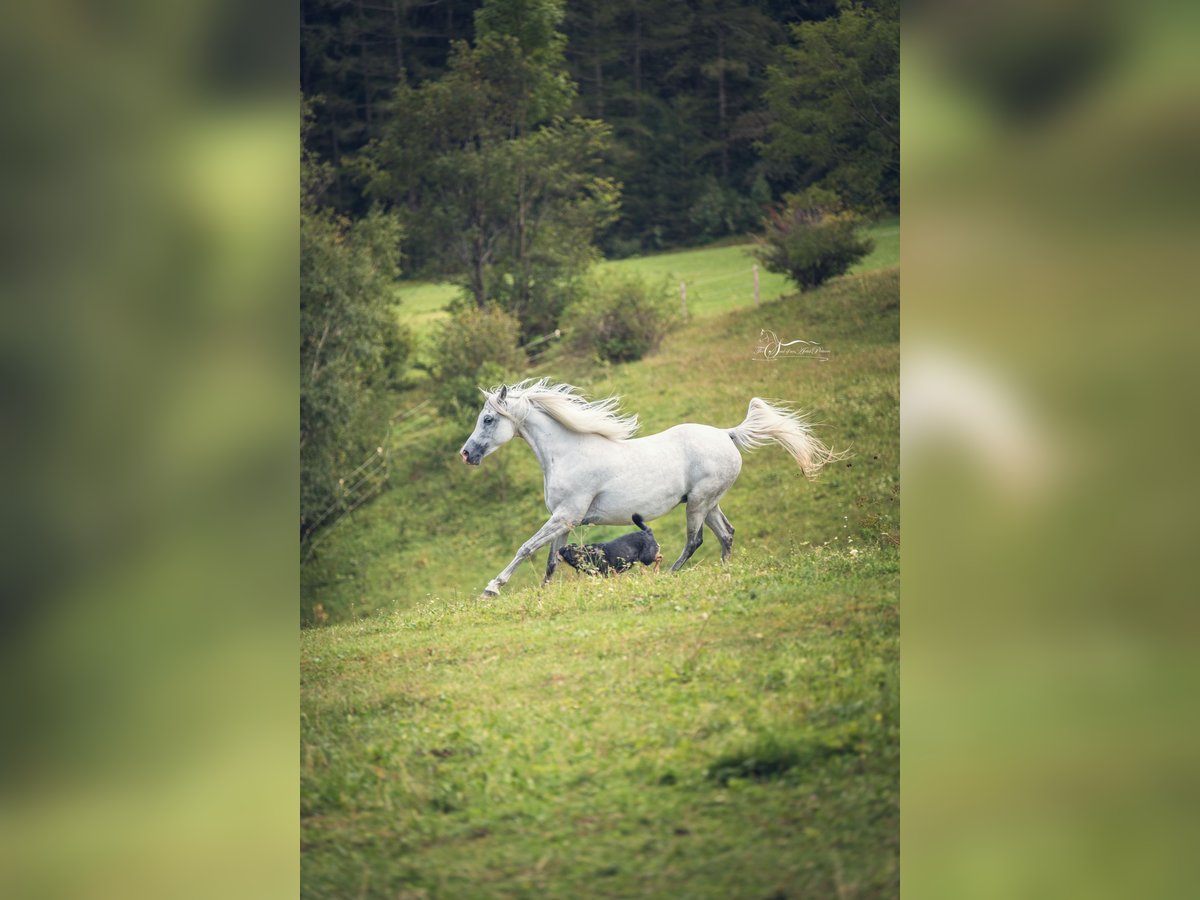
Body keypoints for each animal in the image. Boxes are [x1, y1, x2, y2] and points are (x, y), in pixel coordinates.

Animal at [458, 379, 844, 600]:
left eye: (488, 419)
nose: (466, 454)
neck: (567, 453)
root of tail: (726, 434)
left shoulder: (565, 516)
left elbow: (525, 548)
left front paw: (491, 589)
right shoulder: (564, 520)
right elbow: (552, 559)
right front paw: (543, 593)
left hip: (698, 503)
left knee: (695, 540)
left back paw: (671, 574)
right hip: (709, 502)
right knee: (727, 534)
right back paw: (724, 571)